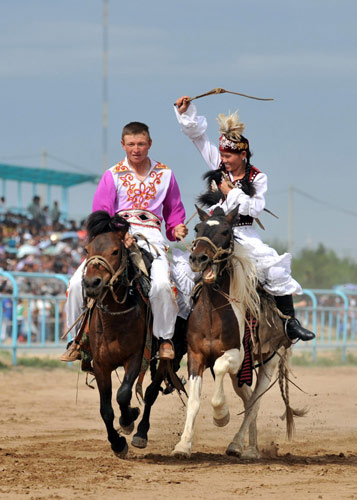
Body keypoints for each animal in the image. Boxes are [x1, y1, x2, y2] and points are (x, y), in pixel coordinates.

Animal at [81, 211, 185, 458]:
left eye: (115, 251)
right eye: (87, 250)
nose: (91, 283)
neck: (115, 318)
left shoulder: (136, 358)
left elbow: (123, 394)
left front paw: (128, 420)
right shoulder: (100, 364)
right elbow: (106, 409)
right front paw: (117, 443)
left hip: (166, 358)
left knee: (151, 392)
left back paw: (141, 432)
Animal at [171, 205, 298, 458]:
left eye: (226, 231)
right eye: (197, 228)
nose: (199, 258)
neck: (213, 312)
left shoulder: (236, 355)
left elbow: (220, 369)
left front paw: (221, 415)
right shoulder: (196, 356)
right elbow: (194, 401)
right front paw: (183, 444)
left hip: (268, 361)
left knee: (255, 402)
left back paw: (241, 445)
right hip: (240, 374)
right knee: (248, 399)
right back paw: (248, 446)